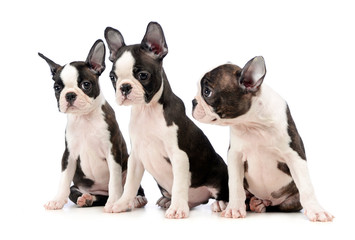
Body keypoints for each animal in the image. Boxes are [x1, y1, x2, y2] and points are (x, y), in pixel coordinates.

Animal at [40, 39, 147, 210]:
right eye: (57, 88)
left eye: (86, 85)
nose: (69, 95)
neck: (85, 119)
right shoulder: (69, 155)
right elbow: (64, 179)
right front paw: (57, 200)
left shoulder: (113, 151)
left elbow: (114, 182)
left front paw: (114, 202)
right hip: (78, 187)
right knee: (78, 193)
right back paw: (87, 198)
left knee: (134, 188)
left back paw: (136, 199)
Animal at [104, 21, 229, 218]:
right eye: (112, 77)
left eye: (143, 75)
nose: (124, 87)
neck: (147, 111)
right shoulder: (136, 157)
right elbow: (130, 183)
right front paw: (122, 203)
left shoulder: (178, 155)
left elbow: (179, 185)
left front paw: (177, 209)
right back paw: (168, 200)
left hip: (219, 173)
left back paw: (219, 203)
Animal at [192, 56, 334, 221]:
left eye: (207, 92)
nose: (193, 102)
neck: (253, 124)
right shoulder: (235, 155)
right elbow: (235, 185)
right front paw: (234, 208)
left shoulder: (295, 155)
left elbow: (306, 187)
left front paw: (316, 211)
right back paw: (227, 203)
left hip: (290, 201)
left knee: (278, 205)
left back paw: (259, 204)